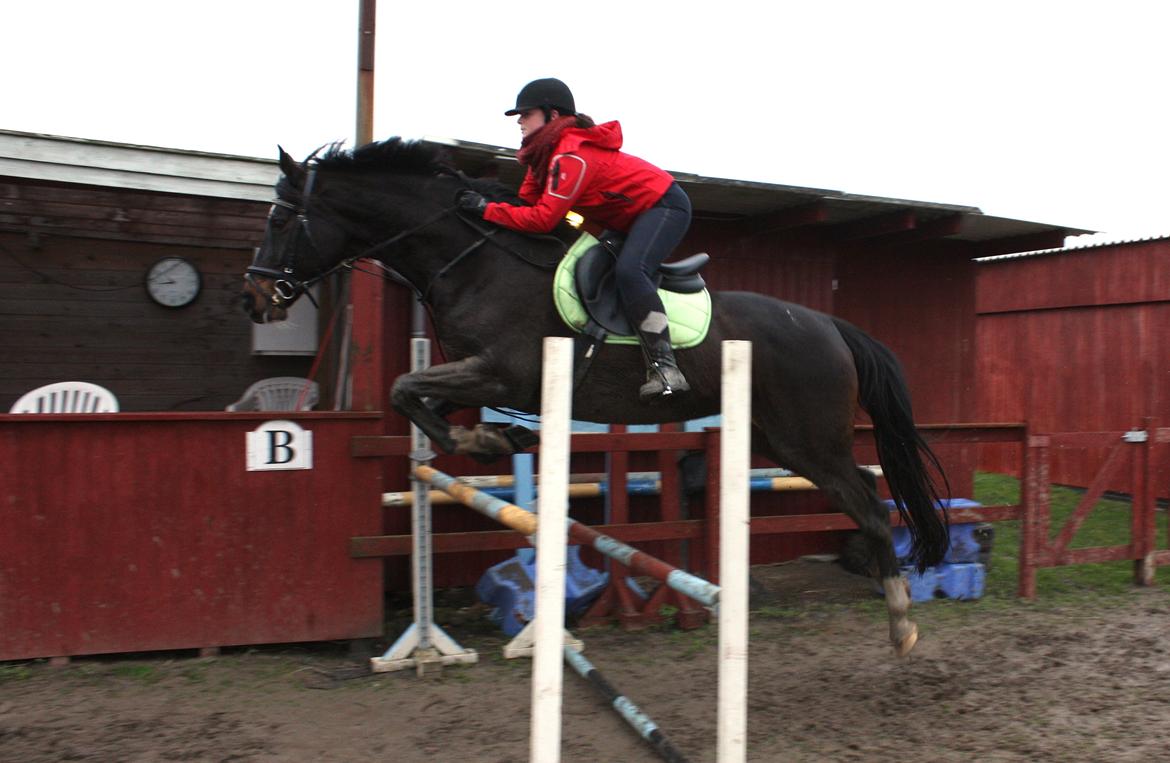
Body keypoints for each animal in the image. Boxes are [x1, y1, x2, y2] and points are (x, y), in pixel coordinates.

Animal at [239, 138, 950, 655]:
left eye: (280, 218)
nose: (255, 297)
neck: (473, 259)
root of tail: (830, 324)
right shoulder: (475, 372)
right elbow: (417, 401)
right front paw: (494, 437)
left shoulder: (502, 371)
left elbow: (406, 389)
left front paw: (489, 437)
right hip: (782, 440)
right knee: (864, 492)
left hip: (808, 439)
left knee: (872, 504)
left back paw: (901, 622)